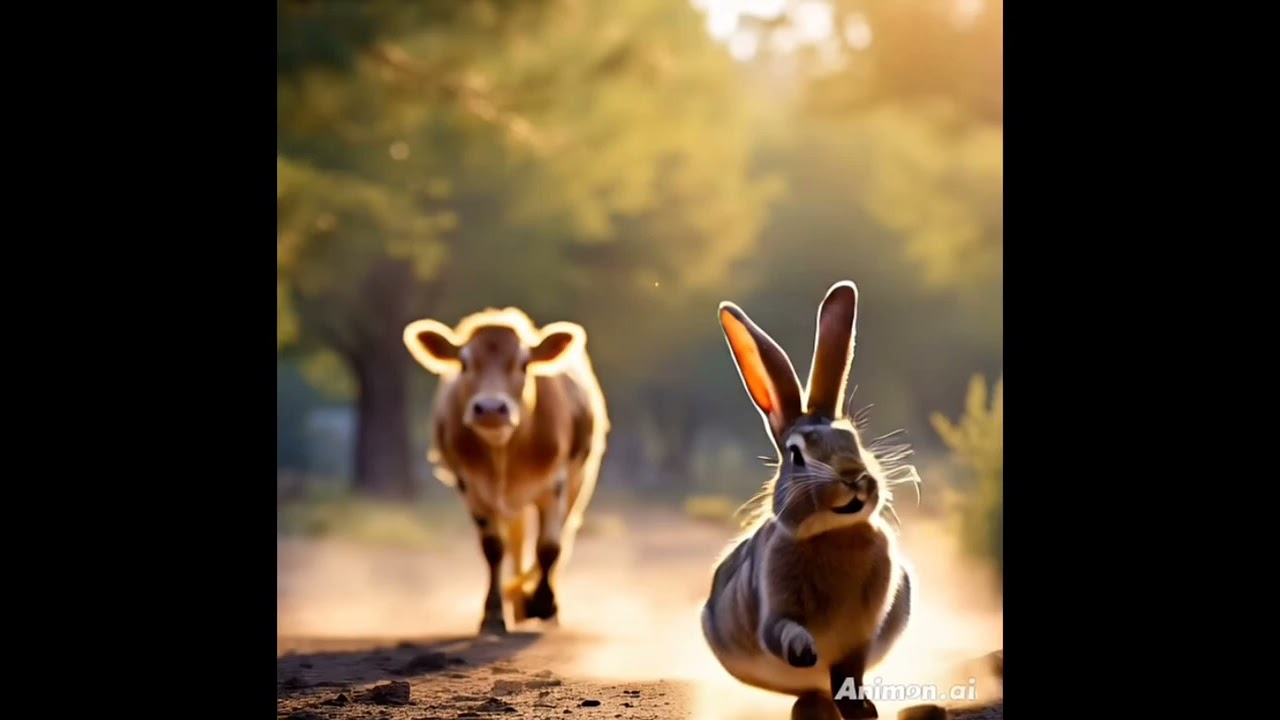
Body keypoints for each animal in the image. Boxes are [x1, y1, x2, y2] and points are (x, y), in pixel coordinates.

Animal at [403, 307, 610, 635]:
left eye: (524, 364)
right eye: (464, 363)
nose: (490, 409)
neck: (504, 450)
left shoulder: (556, 483)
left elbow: (550, 547)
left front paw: (542, 604)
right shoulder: (471, 486)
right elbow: (494, 548)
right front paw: (493, 614)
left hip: (579, 482)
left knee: (562, 533)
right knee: (516, 543)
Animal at [700, 280, 914, 720]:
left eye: (854, 441)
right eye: (797, 455)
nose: (853, 478)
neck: (834, 534)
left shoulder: (858, 641)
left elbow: (850, 673)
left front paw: (862, 707)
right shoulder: (774, 609)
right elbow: (781, 631)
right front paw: (803, 651)